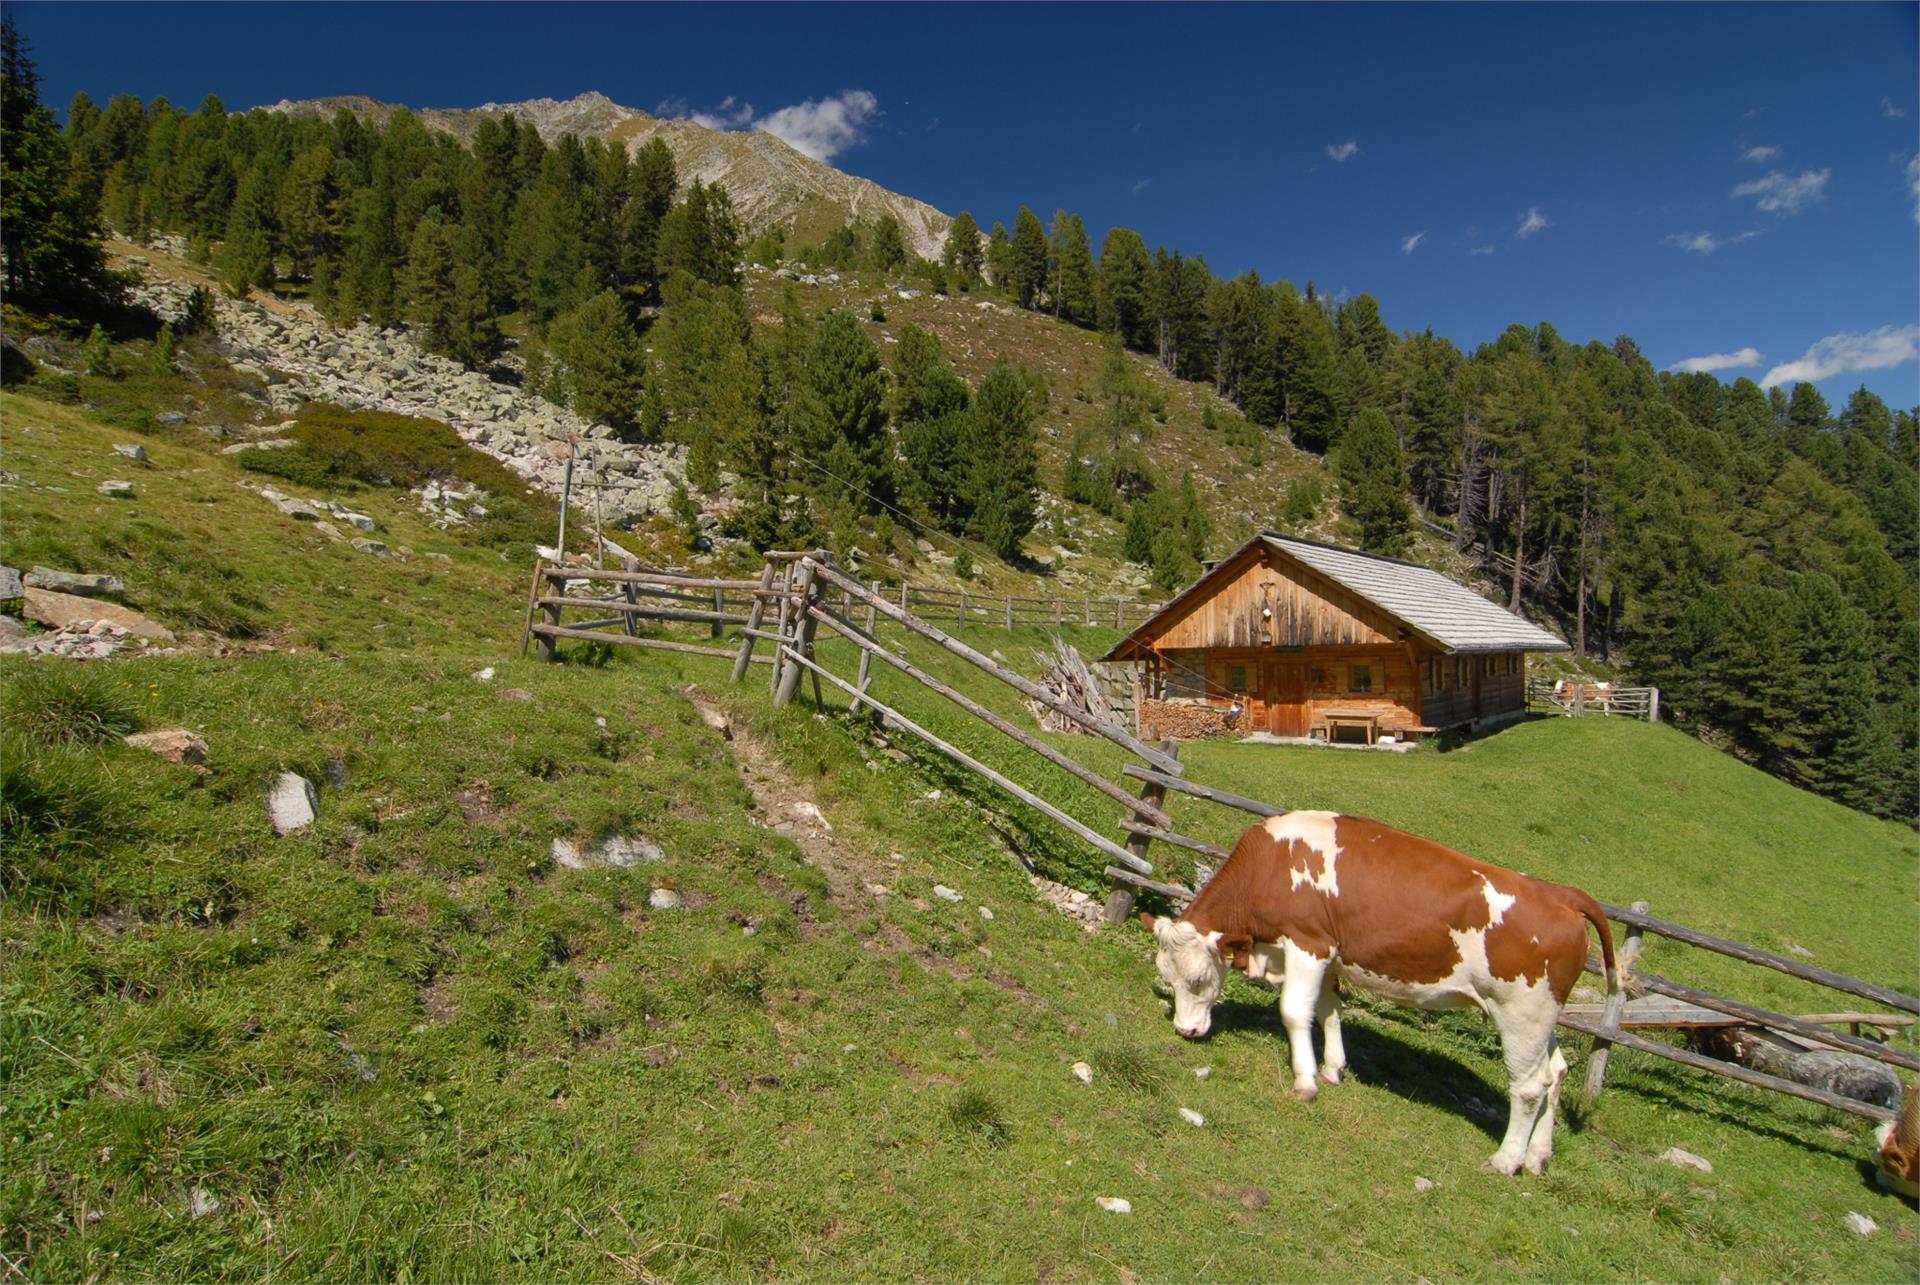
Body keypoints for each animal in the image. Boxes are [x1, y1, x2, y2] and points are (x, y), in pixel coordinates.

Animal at [1144, 810, 1612, 1175]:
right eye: (1166, 976)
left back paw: (1506, 1160)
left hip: (1520, 1012)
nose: (1185, 1030)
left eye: (1199, 979)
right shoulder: (1330, 954)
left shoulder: (1309, 943)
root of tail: (1559, 893)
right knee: (1556, 1073)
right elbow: (1328, 1011)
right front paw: (1332, 1069)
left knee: (1530, 1087)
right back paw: (1536, 1157)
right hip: (1542, 1017)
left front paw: (1305, 1081)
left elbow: (1295, 1012)